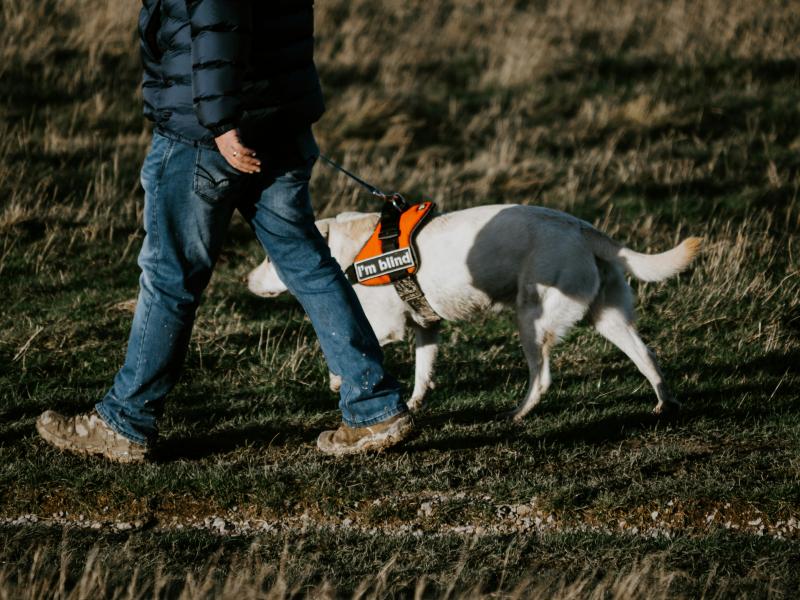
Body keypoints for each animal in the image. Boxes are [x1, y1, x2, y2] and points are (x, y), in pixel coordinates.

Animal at [247, 204, 701, 420]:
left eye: (271, 258)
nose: (246, 280)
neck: (346, 249)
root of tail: (582, 228)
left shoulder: (384, 326)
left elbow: (342, 347)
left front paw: (338, 380)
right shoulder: (426, 328)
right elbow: (422, 372)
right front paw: (414, 403)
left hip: (532, 319)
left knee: (542, 377)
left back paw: (517, 414)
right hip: (608, 317)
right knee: (647, 357)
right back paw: (665, 404)